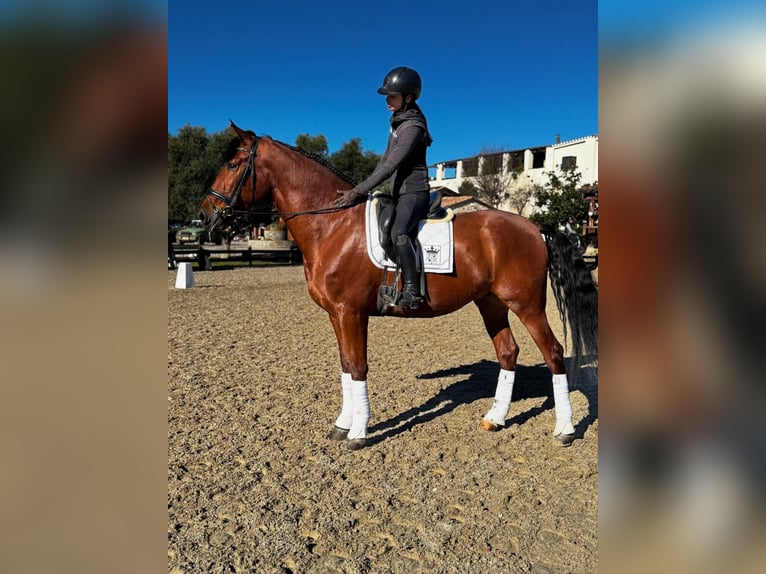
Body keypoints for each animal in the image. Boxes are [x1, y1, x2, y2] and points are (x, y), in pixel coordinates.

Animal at [200, 122, 598, 450]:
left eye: (233, 165)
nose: (205, 214)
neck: (333, 225)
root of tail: (534, 227)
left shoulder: (351, 313)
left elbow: (358, 367)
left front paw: (359, 433)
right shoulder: (337, 315)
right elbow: (345, 365)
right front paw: (342, 425)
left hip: (526, 304)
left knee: (554, 352)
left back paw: (564, 430)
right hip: (491, 303)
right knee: (508, 352)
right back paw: (494, 419)